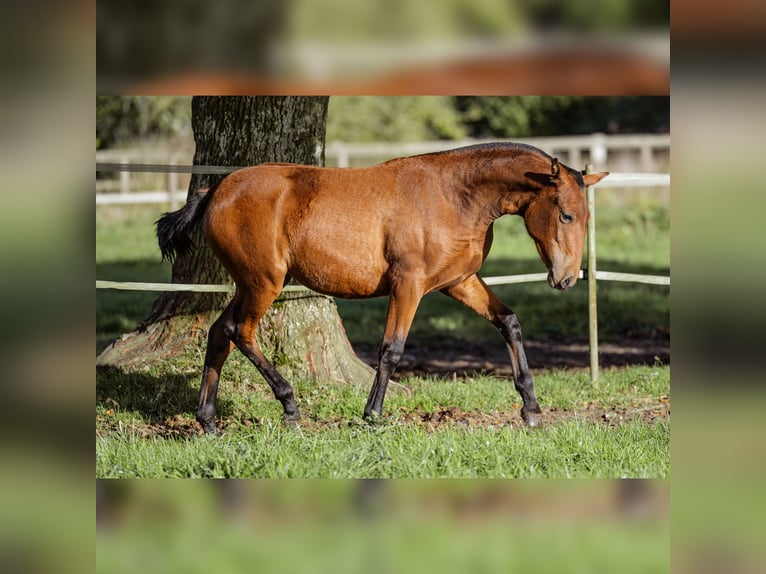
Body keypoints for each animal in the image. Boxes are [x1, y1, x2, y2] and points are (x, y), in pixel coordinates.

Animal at [159, 142, 608, 434]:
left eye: (587, 216)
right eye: (566, 215)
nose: (566, 279)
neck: (454, 196)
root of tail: (217, 190)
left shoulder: (459, 283)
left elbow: (509, 322)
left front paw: (531, 409)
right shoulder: (408, 285)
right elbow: (391, 349)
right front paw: (372, 415)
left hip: (249, 284)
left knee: (220, 333)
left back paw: (208, 421)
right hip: (263, 283)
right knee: (241, 332)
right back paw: (289, 406)